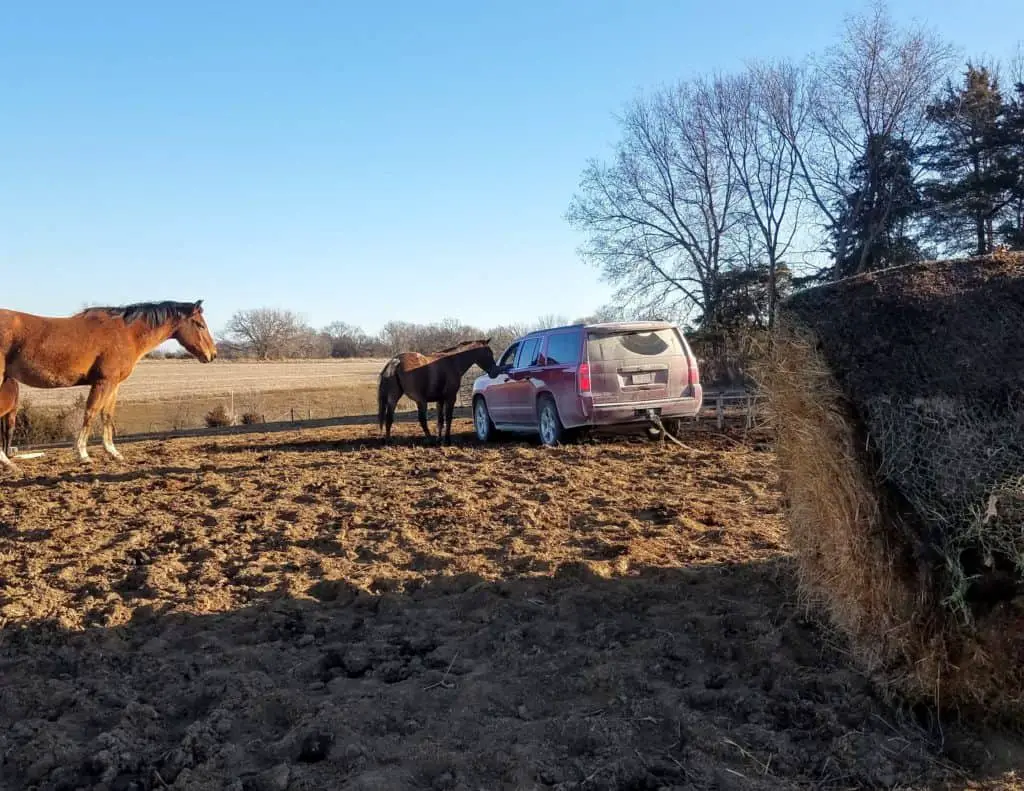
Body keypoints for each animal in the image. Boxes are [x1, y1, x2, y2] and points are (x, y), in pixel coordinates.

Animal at [0, 299, 216, 467]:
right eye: (200, 325)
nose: (212, 355)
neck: (126, 333)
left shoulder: (114, 384)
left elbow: (107, 414)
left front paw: (112, 452)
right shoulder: (103, 382)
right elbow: (91, 412)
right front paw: (83, 454)